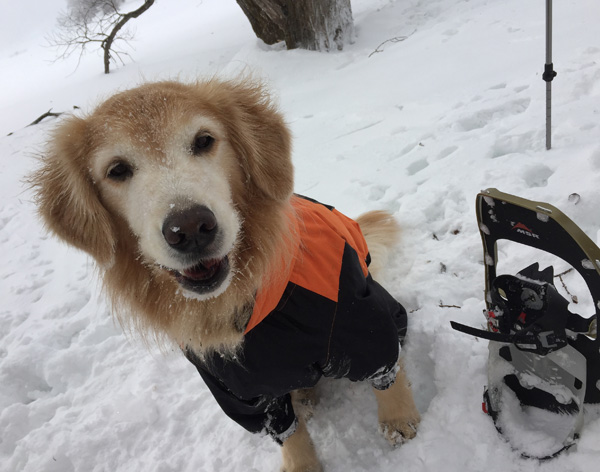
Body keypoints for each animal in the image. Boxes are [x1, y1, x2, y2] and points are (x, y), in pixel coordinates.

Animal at [31, 79, 418, 470]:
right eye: (117, 170)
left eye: (204, 141)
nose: (190, 229)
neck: (249, 305)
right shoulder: (241, 393)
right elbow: (285, 431)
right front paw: (301, 464)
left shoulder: (361, 327)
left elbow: (386, 371)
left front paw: (398, 420)